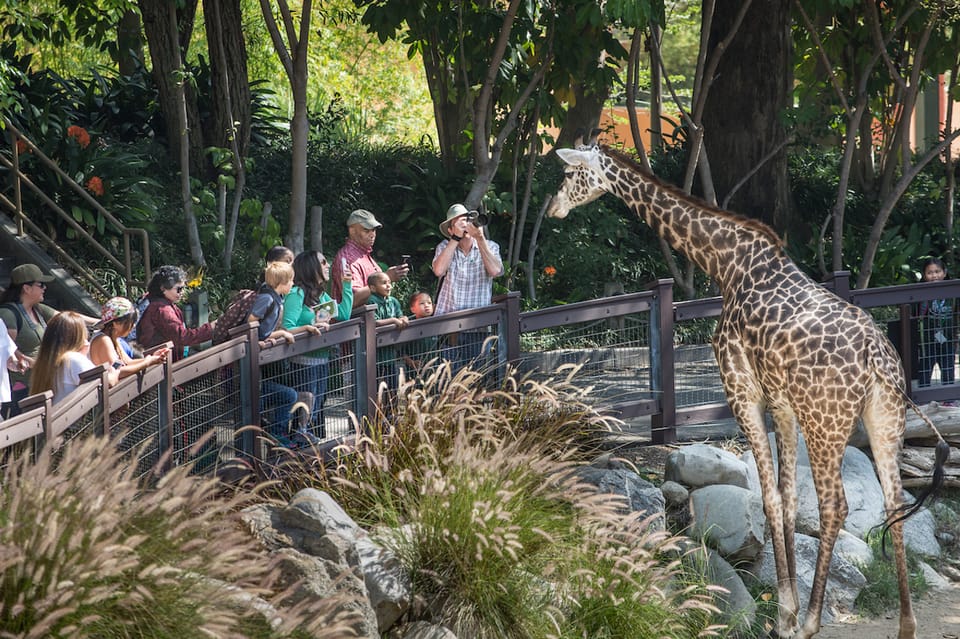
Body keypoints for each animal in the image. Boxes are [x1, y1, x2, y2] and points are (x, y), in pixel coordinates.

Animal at [548, 140, 952, 639]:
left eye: (569, 175)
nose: (553, 207)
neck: (725, 262)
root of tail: (880, 362)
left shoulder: (742, 391)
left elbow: (770, 496)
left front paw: (786, 615)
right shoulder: (782, 403)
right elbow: (789, 497)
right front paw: (788, 608)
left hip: (827, 423)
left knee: (836, 505)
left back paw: (813, 621)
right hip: (884, 419)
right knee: (894, 501)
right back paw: (906, 626)